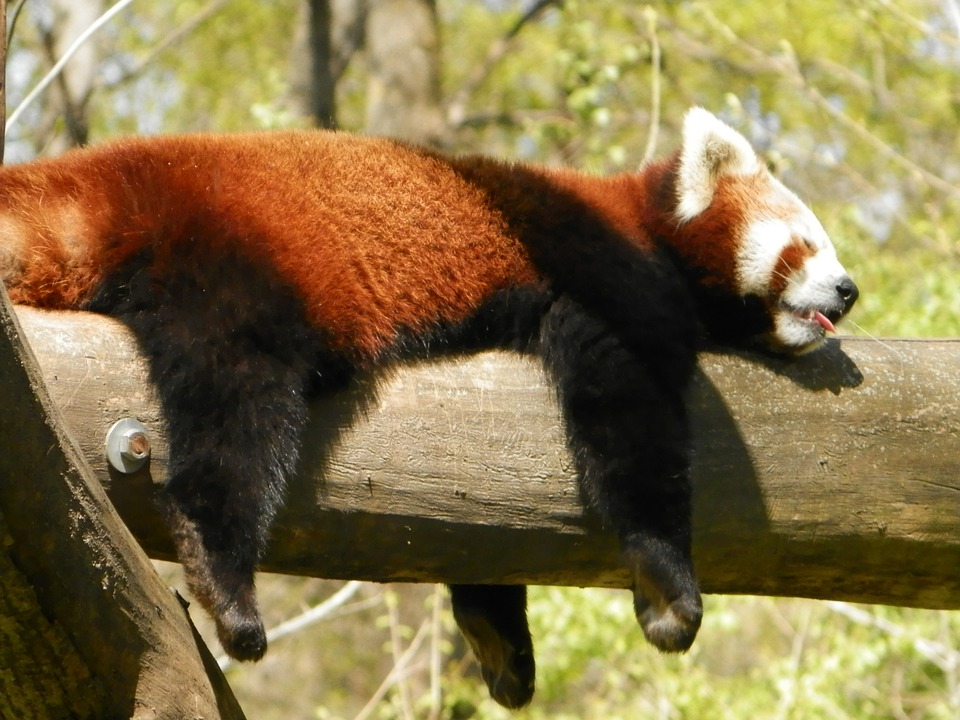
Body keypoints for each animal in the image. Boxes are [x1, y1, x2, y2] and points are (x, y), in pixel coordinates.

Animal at [0, 107, 856, 708]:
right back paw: (226, 581)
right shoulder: (609, 274)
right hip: (236, 265)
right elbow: (634, 425)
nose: (849, 290)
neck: (642, 224)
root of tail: (115, 170)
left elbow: (479, 534)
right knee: (235, 415)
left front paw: (498, 638)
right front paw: (669, 588)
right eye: (808, 244)